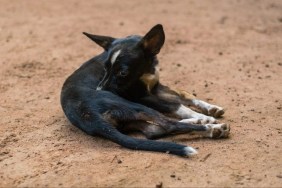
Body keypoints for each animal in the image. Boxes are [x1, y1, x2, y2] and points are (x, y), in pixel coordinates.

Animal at [60, 24, 229, 156]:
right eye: (105, 68)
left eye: (122, 73)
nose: (99, 89)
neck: (146, 70)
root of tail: (89, 116)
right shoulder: (142, 97)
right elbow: (176, 104)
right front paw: (201, 114)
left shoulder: (156, 87)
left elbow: (183, 94)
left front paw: (210, 107)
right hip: (133, 105)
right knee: (169, 124)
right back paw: (210, 126)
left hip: (129, 120)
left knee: (154, 131)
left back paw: (202, 123)